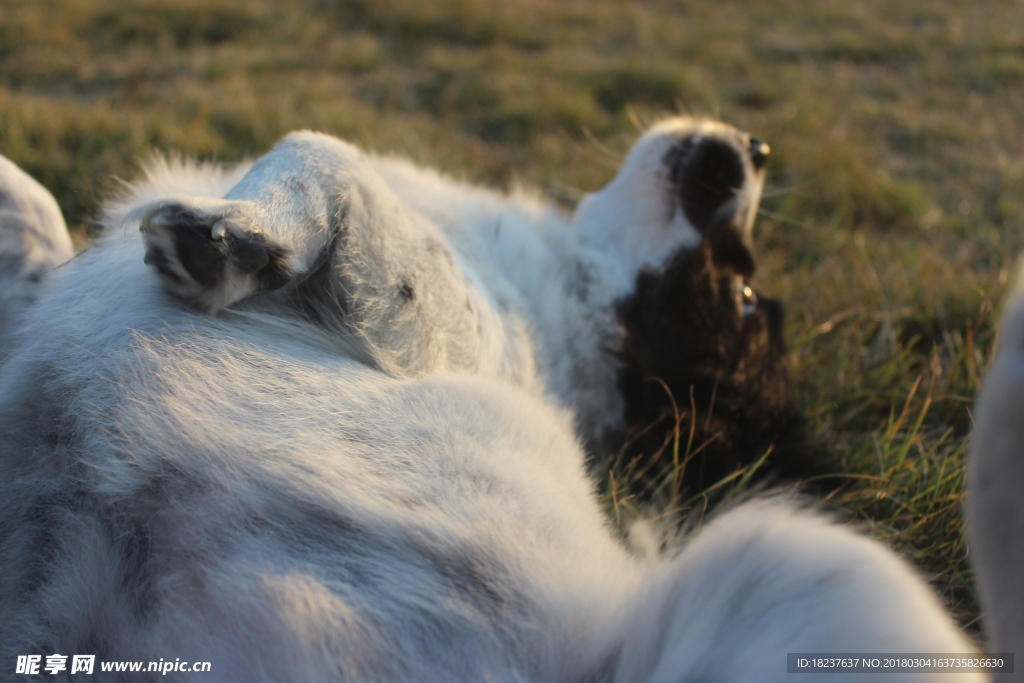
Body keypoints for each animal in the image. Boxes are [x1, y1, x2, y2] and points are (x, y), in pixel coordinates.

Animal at [2, 120, 983, 679]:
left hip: (802, 559)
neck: (563, 330)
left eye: (740, 297)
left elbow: (323, 150)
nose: (757, 148)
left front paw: (236, 239)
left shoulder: (443, 324)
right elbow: (35, 214)